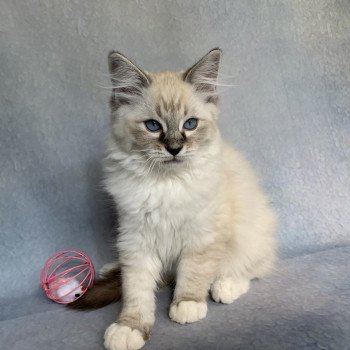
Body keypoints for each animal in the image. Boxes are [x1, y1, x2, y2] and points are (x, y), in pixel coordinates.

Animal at [69, 48, 278, 350]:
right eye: (152, 126)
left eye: (190, 124)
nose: (175, 148)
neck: (166, 185)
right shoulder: (137, 240)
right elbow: (136, 290)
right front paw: (129, 328)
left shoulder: (201, 235)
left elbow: (193, 273)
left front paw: (187, 305)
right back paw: (109, 267)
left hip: (250, 234)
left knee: (252, 268)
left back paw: (225, 287)